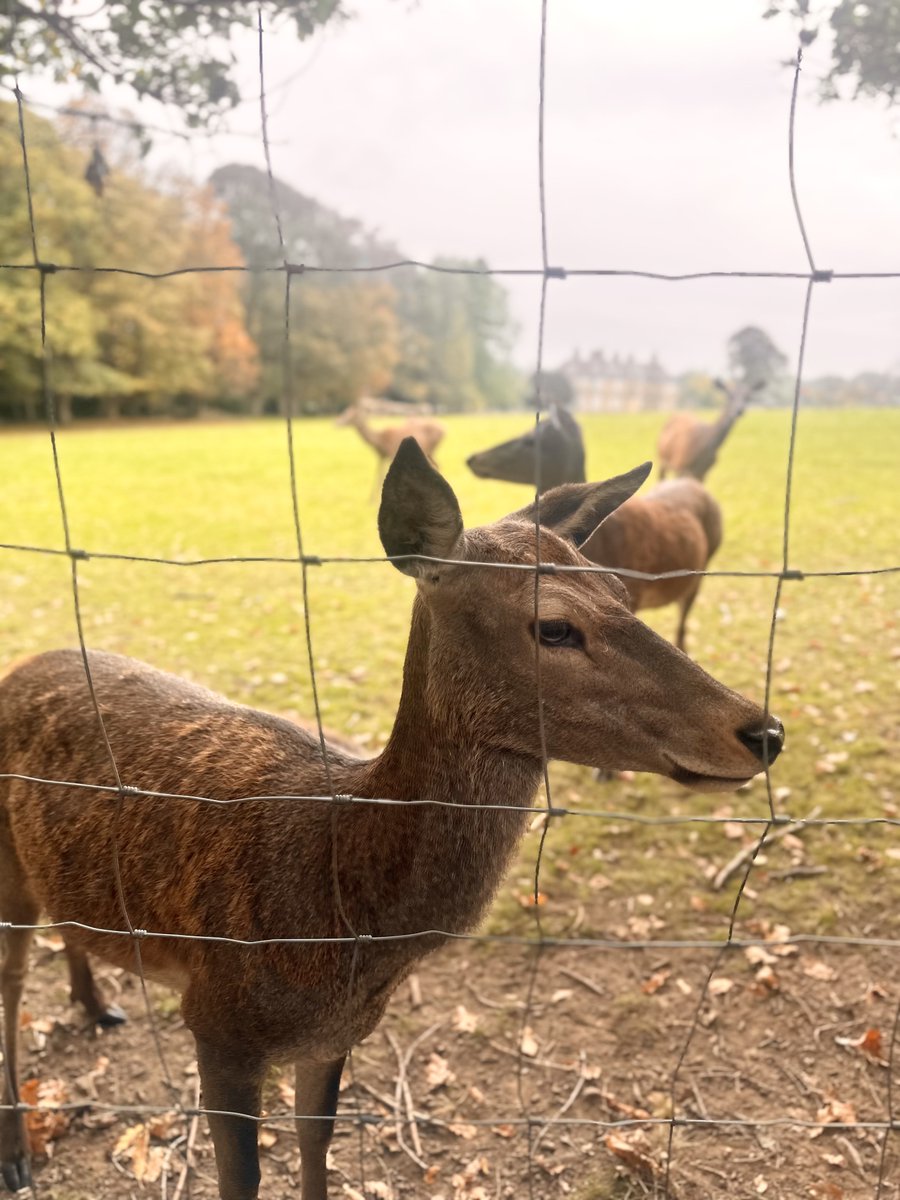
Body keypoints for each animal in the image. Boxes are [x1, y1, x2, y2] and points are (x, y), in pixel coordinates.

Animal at [0, 439, 784, 1200]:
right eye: (555, 626)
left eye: (624, 591)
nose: (763, 730)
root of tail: (24, 665)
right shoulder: (217, 1020)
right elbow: (241, 1177)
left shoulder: (336, 1032)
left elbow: (318, 1141)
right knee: (10, 986)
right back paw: (20, 1154)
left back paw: (97, 1007)